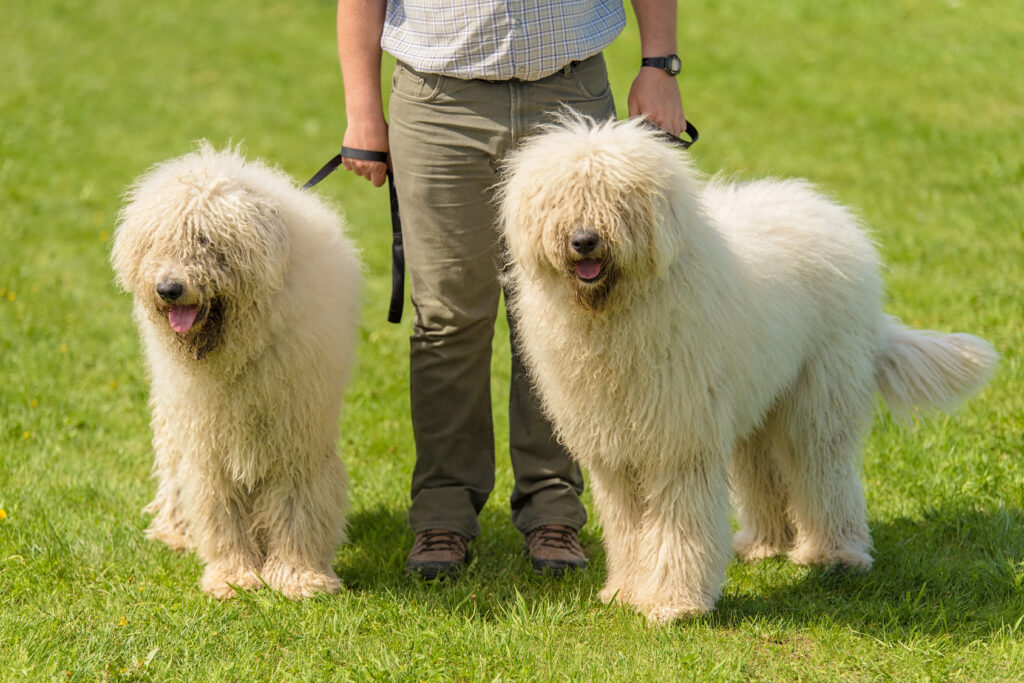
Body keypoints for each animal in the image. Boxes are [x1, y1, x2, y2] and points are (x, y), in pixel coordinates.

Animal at [111, 144, 360, 598]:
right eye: (158, 241)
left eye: (206, 239)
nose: (169, 289)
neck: (238, 350)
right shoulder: (209, 441)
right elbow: (220, 510)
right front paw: (235, 577)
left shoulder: (296, 432)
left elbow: (297, 503)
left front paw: (299, 577)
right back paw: (176, 532)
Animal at [499, 117, 995, 626]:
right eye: (559, 200)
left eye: (618, 199)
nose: (583, 241)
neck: (616, 313)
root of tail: (831, 214)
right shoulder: (615, 450)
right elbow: (628, 528)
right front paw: (626, 591)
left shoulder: (680, 440)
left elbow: (678, 524)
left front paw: (673, 603)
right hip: (758, 397)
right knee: (762, 471)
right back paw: (765, 544)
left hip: (819, 393)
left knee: (825, 470)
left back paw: (836, 554)